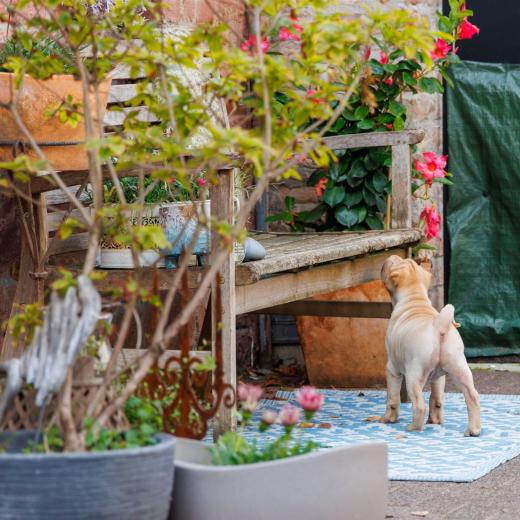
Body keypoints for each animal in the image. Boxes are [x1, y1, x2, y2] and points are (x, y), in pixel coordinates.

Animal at [381, 255, 480, 437]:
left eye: (392, 264)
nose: (392, 256)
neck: (415, 297)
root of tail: (439, 326)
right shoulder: (439, 376)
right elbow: (436, 398)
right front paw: (435, 421)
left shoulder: (392, 369)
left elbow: (392, 399)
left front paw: (388, 419)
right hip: (460, 369)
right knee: (472, 397)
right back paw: (473, 430)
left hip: (414, 376)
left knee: (419, 405)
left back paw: (413, 428)